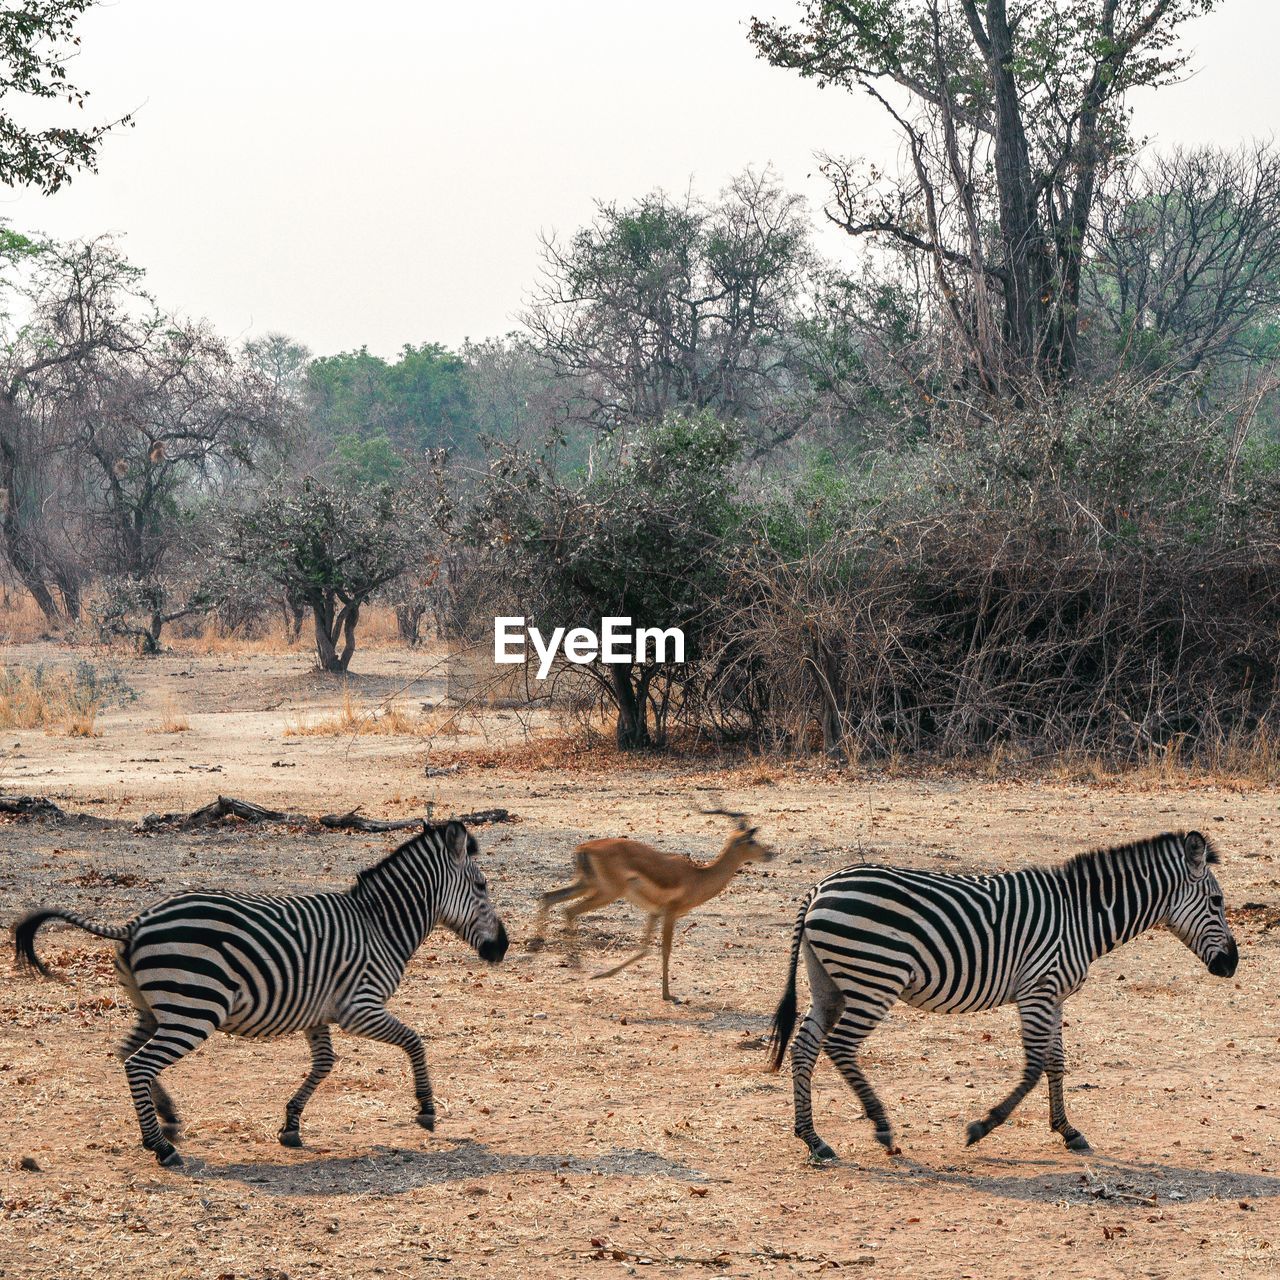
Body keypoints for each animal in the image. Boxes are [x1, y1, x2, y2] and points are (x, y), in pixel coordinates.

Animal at [13, 819, 509, 1172]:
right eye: (482, 886)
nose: (502, 948)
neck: (380, 925)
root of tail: (136, 922)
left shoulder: (318, 1012)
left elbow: (324, 1064)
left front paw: (291, 1125)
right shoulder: (360, 1007)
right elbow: (415, 1042)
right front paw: (426, 1110)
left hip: (155, 1008)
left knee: (125, 1054)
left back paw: (166, 1119)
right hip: (194, 1010)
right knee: (139, 1062)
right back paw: (160, 1147)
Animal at [527, 808, 768, 998]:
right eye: (750, 840)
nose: (770, 853)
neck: (697, 877)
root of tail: (584, 848)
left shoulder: (655, 913)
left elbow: (644, 948)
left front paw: (605, 974)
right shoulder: (670, 913)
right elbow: (665, 950)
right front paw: (668, 995)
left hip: (587, 885)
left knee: (549, 896)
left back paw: (537, 944)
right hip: (607, 892)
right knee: (570, 910)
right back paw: (576, 965)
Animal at [768, 829, 1239, 1162]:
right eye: (1217, 902)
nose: (1232, 965)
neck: (1082, 917)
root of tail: (818, 888)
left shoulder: (1054, 995)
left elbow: (1056, 1062)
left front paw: (1067, 1130)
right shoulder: (1038, 990)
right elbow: (1033, 1067)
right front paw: (983, 1126)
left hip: (829, 983)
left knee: (805, 1047)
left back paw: (812, 1138)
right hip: (874, 978)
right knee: (840, 1047)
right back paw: (881, 1127)